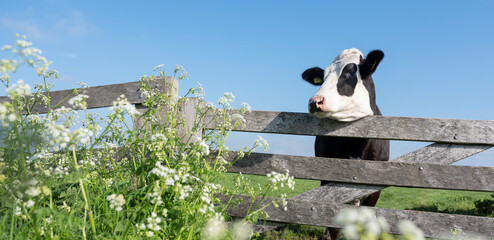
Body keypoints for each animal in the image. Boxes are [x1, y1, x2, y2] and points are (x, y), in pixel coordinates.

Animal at [302, 47, 390, 239]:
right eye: (323, 77)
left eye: (350, 72)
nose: (315, 101)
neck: (356, 146)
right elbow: (334, 226)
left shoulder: (375, 190)